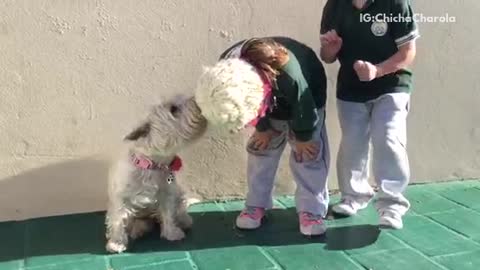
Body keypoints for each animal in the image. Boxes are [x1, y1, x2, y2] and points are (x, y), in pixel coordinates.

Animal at [106, 95, 207, 253]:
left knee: (180, 210)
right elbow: (118, 219)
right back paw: (138, 230)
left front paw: (172, 233)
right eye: (173, 109)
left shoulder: (167, 193)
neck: (152, 166)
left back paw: (184, 221)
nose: (197, 99)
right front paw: (116, 242)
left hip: (179, 195)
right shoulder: (120, 198)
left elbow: (168, 213)